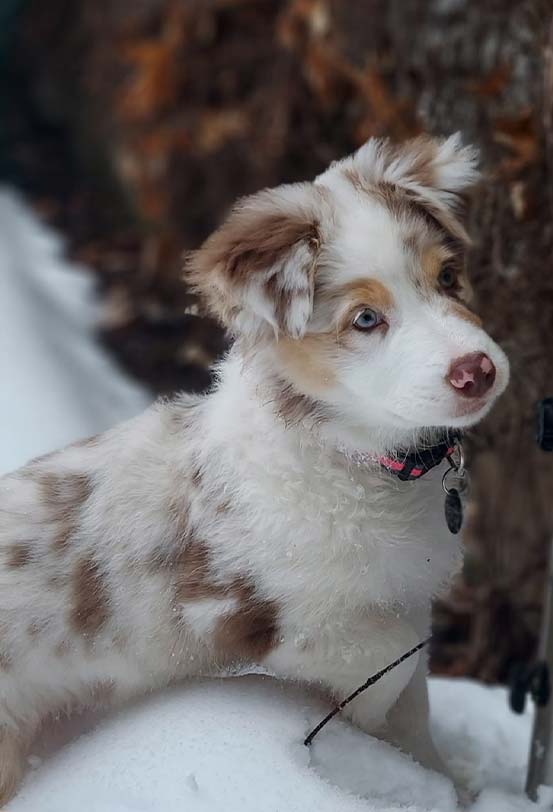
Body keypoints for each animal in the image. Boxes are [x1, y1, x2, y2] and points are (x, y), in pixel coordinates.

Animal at [0, 133, 508, 800]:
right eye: (365, 319)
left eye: (449, 277)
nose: (477, 371)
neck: (358, 460)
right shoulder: (244, 615)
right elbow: (387, 654)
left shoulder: (404, 587)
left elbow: (415, 707)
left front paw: (441, 785)